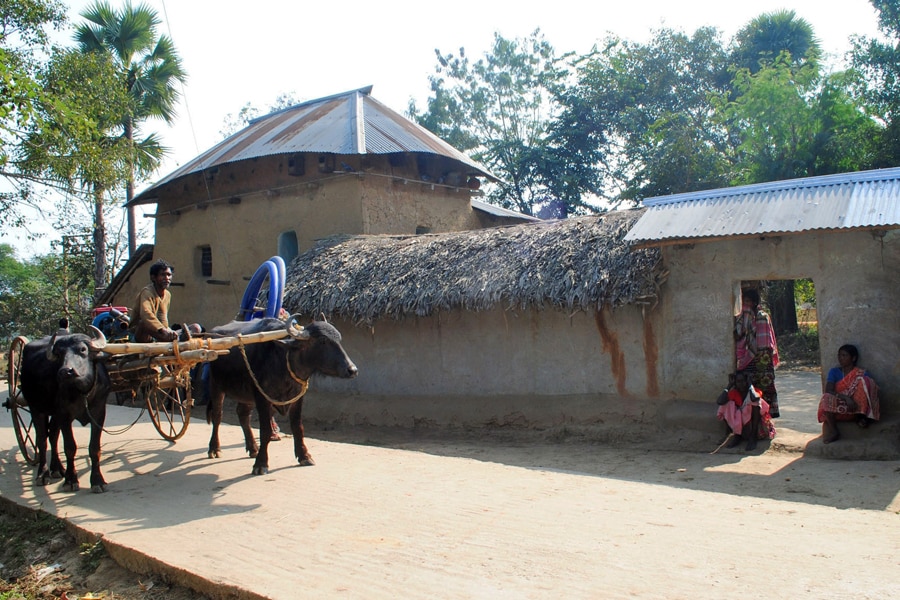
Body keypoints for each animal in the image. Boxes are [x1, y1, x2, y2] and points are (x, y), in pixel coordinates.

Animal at [20, 328, 110, 492]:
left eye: (82, 349)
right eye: (60, 354)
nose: (66, 371)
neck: (81, 392)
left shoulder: (99, 412)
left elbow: (94, 448)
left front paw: (97, 481)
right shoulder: (64, 415)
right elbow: (69, 447)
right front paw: (70, 480)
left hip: (54, 415)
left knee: (53, 436)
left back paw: (57, 469)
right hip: (35, 407)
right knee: (42, 439)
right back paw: (43, 474)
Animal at [206, 314, 356, 474]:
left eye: (339, 339)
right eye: (323, 341)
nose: (352, 370)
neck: (283, 361)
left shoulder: (297, 398)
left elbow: (298, 427)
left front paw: (304, 456)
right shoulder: (262, 397)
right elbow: (265, 430)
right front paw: (261, 464)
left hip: (246, 395)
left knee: (243, 415)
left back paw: (253, 448)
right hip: (216, 385)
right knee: (217, 415)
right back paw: (214, 449)